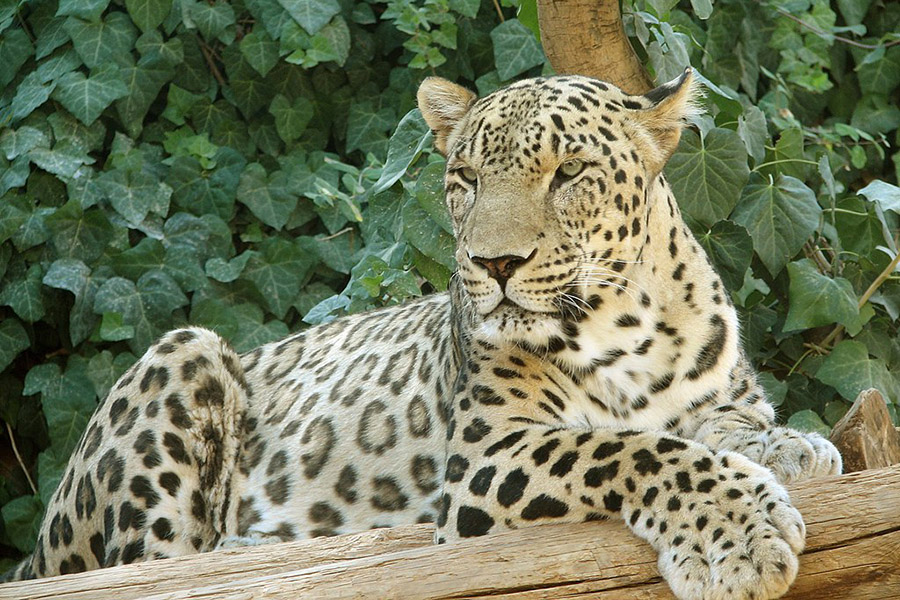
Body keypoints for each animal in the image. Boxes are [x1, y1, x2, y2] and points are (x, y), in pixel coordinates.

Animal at [2, 69, 841, 600]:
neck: (624, 325)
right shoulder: (485, 457)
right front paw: (739, 535)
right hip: (184, 352)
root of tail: (33, 554)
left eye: (569, 173)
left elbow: (725, 424)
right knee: (147, 567)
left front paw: (795, 446)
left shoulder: (715, 395)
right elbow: (629, 449)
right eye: (464, 179)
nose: (494, 263)